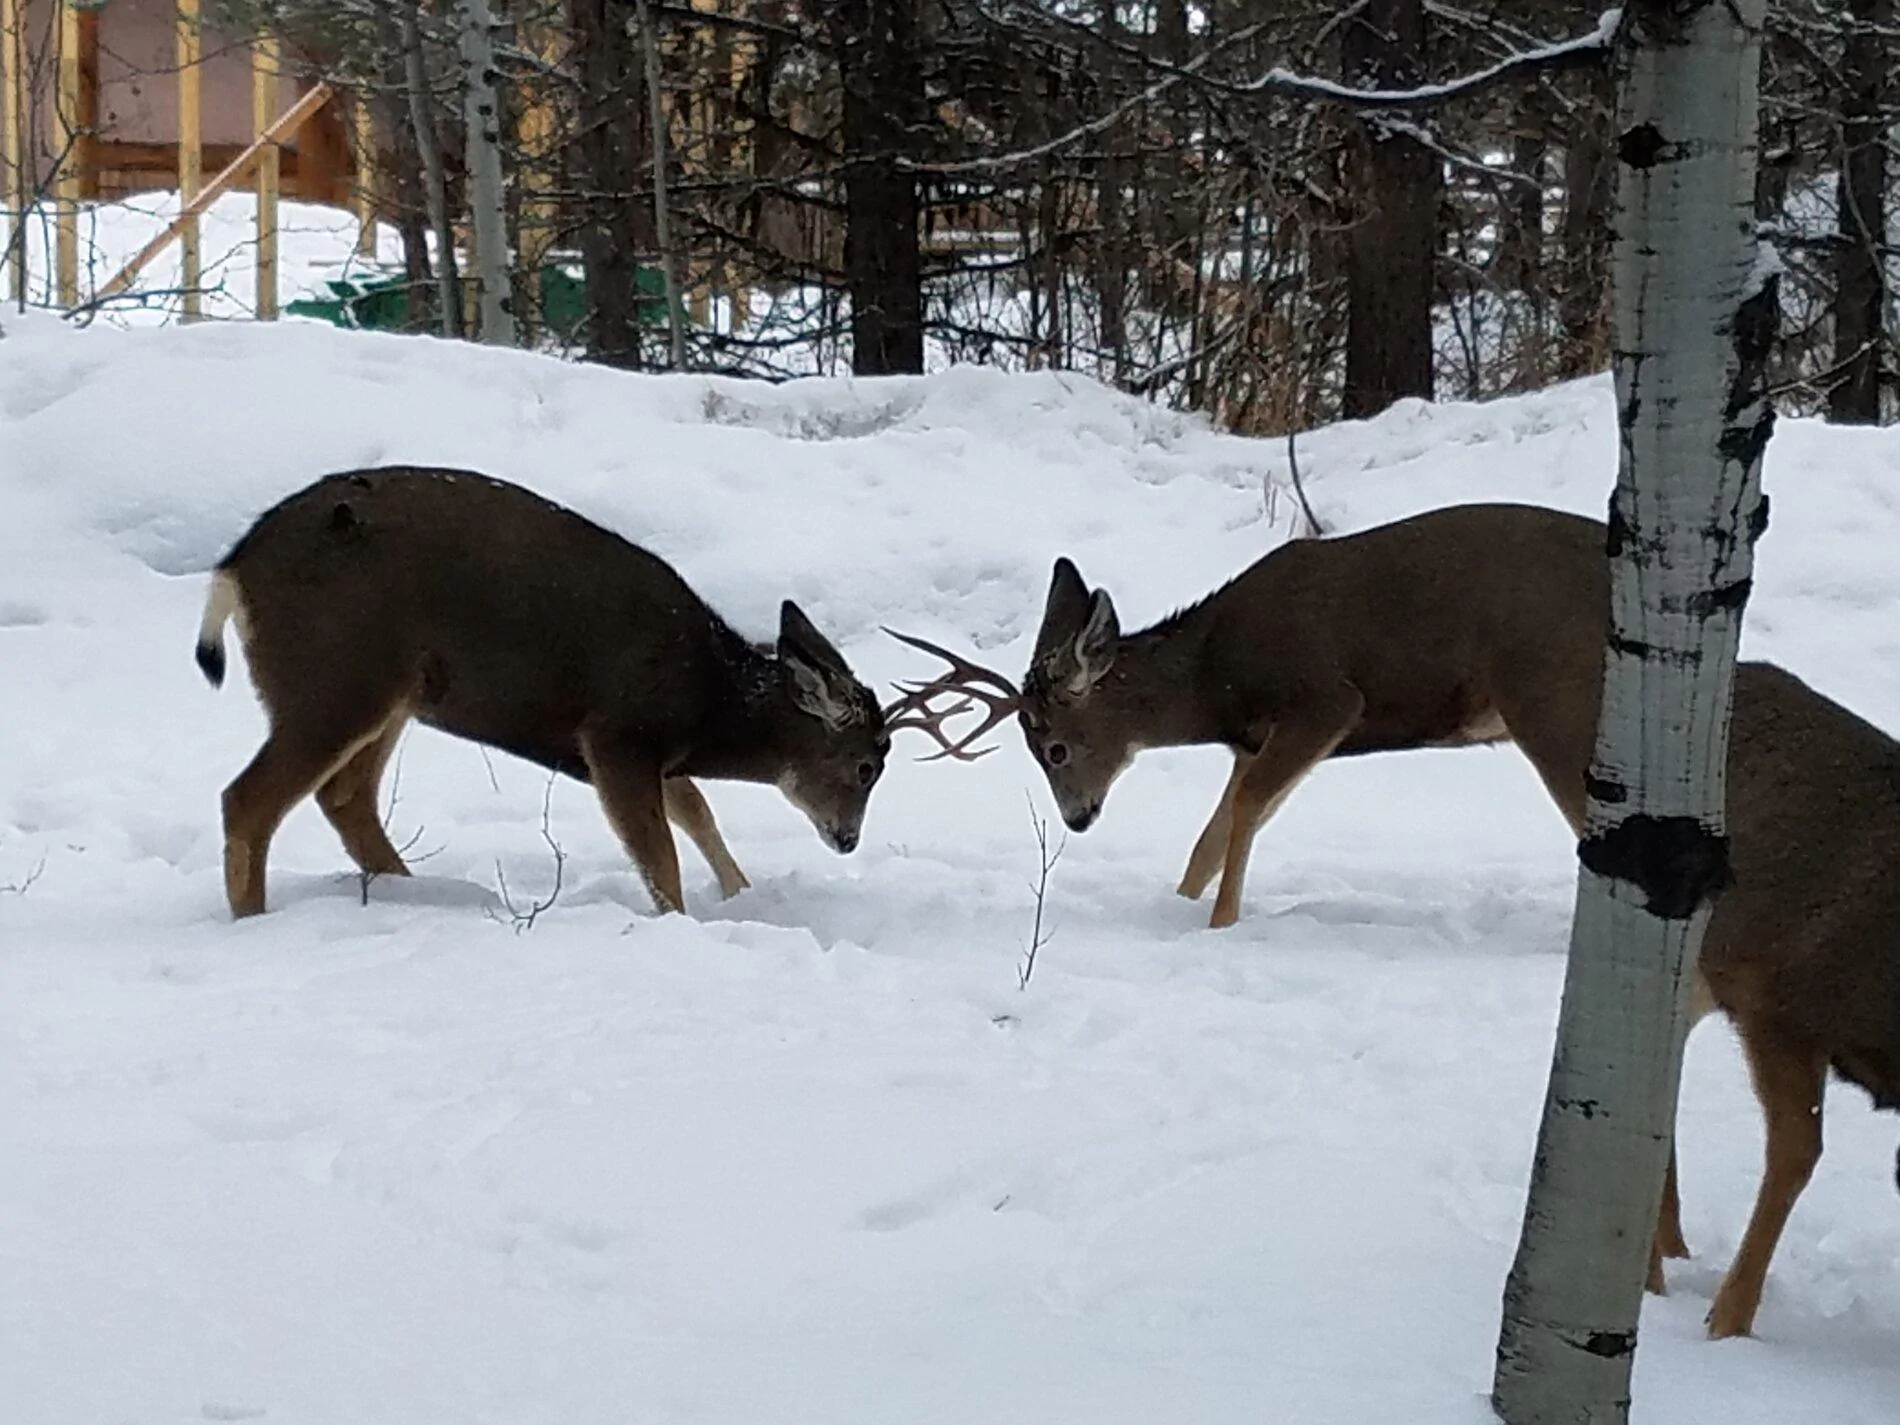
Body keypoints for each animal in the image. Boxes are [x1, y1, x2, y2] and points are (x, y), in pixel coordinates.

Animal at [195, 466, 964, 920]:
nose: (847, 839)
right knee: (248, 798)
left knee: (342, 795)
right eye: (866, 766)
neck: (708, 698)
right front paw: (682, 920)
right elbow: (658, 853)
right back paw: (254, 918)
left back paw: (410, 892)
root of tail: (233, 569)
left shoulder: (653, 752)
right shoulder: (618, 732)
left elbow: (695, 810)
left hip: (392, 694)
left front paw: (742, 891)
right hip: (336, 676)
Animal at [888, 504, 1900, 1341]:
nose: (1078, 821)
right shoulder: (1273, 728)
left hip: (1556, 704)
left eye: (1057, 747)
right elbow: (1217, 828)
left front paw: (1219, 929)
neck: (1216, 674)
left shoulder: (1323, 695)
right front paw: (1182, 910)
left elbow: (1243, 815)